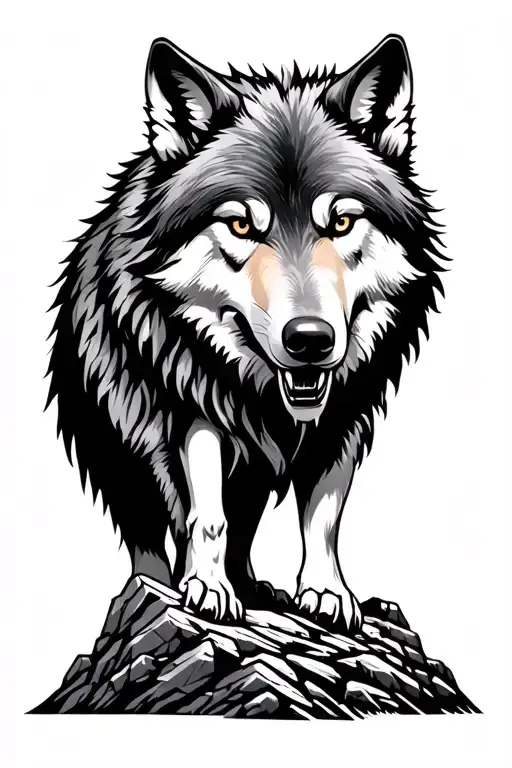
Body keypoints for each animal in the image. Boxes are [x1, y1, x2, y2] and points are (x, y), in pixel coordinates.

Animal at [47, 34, 444, 632]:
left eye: (341, 222)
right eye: (239, 224)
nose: (310, 340)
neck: (263, 394)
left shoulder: (343, 421)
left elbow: (322, 518)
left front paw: (326, 592)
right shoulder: (191, 410)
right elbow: (207, 516)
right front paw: (207, 588)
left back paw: (256, 587)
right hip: (125, 454)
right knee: (151, 538)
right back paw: (155, 587)